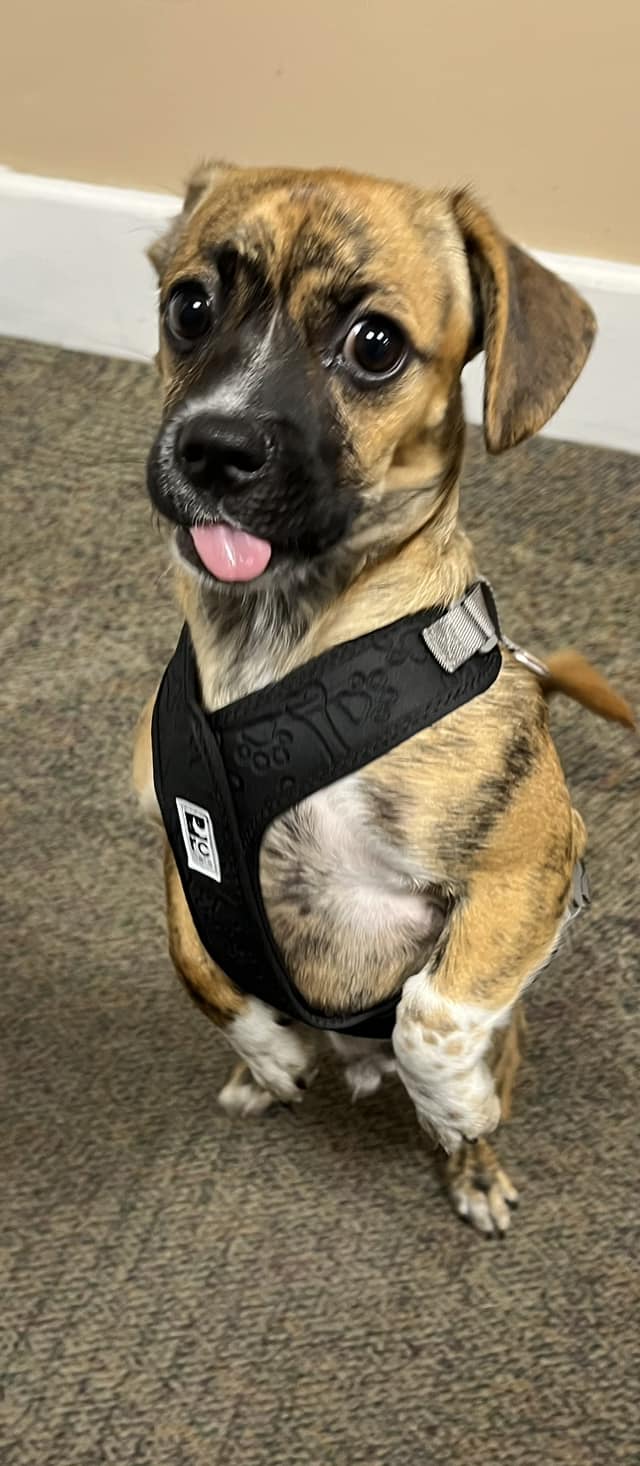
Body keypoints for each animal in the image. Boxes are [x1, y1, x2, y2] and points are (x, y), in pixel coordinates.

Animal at [132, 160, 629, 1237]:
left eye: (374, 345)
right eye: (189, 307)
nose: (213, 448)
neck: (281, 641)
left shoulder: (527, 869)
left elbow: (429, 1014)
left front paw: (454, 1101)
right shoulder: (180, 840)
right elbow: (195, 959)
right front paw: (268, 1052)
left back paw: (471, 1164)